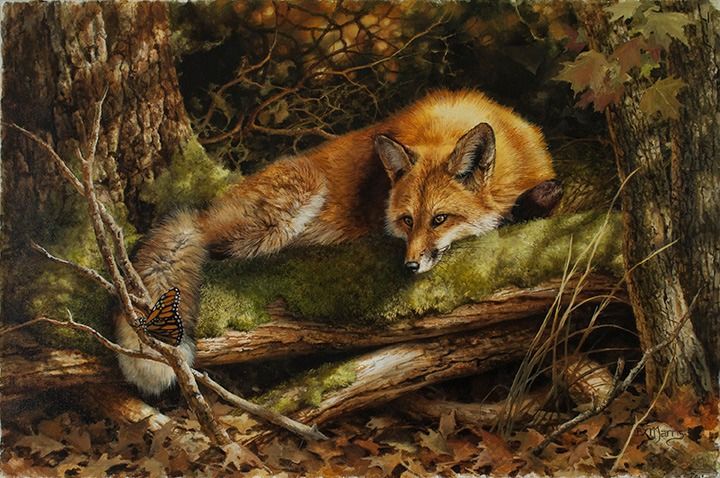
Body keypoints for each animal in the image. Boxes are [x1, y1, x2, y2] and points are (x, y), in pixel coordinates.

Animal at [116, 89, 562, 395]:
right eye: (407, 220)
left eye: (439, 219)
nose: (410, 265)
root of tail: (206, 209)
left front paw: (533, 201)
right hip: (294, 199)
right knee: (217, 247)